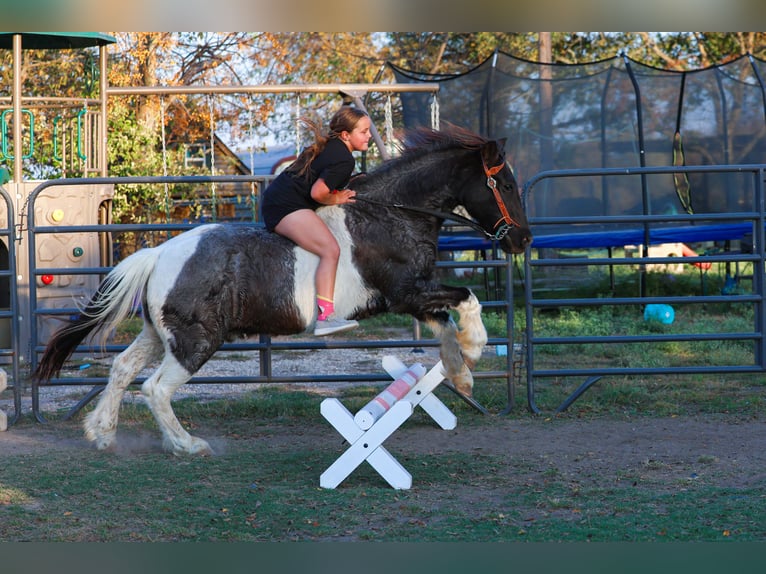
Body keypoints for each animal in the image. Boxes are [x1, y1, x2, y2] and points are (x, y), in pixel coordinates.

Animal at [34, 125, 532, 456]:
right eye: (506, 184)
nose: (523, 241)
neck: (394, 213)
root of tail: (158, 255)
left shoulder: (415, 296)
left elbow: (447, 324)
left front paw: (462, 374)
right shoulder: (405, 292)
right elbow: (467, 300)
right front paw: (475, 351)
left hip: (159, 334)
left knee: (121, 370)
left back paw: (102, 433)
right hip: (196, 341)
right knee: (155, 389)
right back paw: (187, 445)